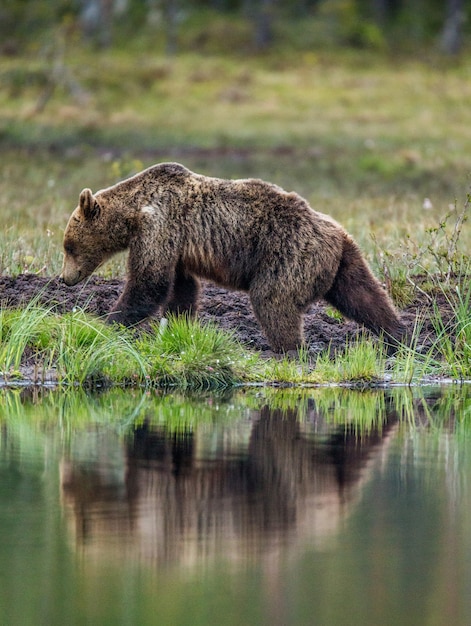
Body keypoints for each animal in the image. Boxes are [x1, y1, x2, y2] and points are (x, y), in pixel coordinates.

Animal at [60, 162, 406, 352]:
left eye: (68, 246)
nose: (65, 279)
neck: (134, 212)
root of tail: (332, 233)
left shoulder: (160, 226)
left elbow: (149, 282)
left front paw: (106, 322)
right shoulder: (176, 245)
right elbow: (182, 287)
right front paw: (177, 325)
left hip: (289, 253)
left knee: (273, 300)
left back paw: (288, 348)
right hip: (345, 257)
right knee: (363, 295)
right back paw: (398, 335)